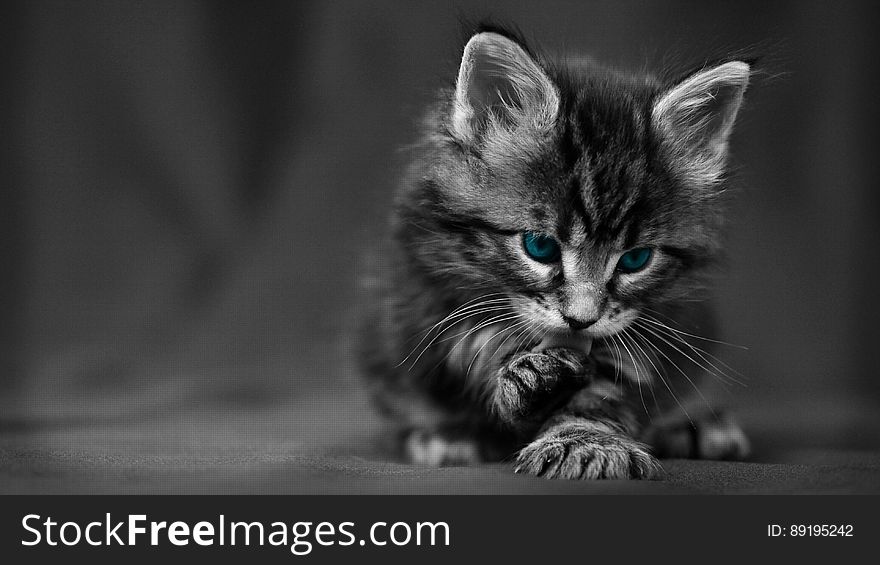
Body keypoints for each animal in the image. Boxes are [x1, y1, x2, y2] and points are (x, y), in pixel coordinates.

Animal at [360, 24, 752, 478]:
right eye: (540, 246)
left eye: (635, 260)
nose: (581, 321)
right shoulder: (432, 297)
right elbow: (477, 351)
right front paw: (530, 378)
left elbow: (604, 392)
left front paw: (585, 441)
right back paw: (446, 437)